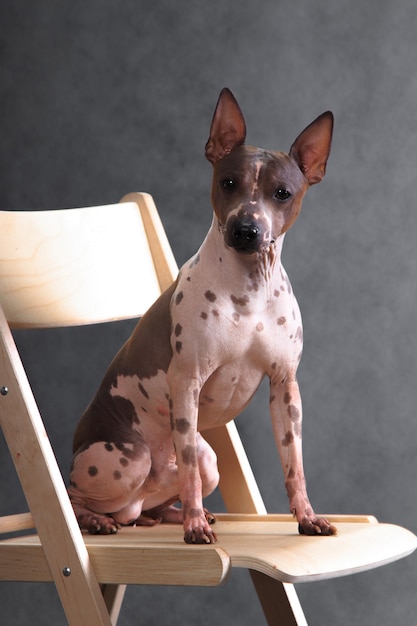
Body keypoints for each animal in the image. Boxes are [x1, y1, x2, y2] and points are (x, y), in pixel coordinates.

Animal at [68, 86, 334, 540]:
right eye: (228, 183)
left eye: (282, 193)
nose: (246, 230)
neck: (249, 291)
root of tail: (133, 506)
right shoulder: (187, 383)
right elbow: (189, 469)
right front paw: (194, 528)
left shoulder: (285, 388)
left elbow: (294, 466)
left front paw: (306, 516)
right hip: (128, 458)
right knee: (74, 495)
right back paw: (98, 520)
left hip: (209, 465)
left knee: (154, 505)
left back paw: (174, 514)